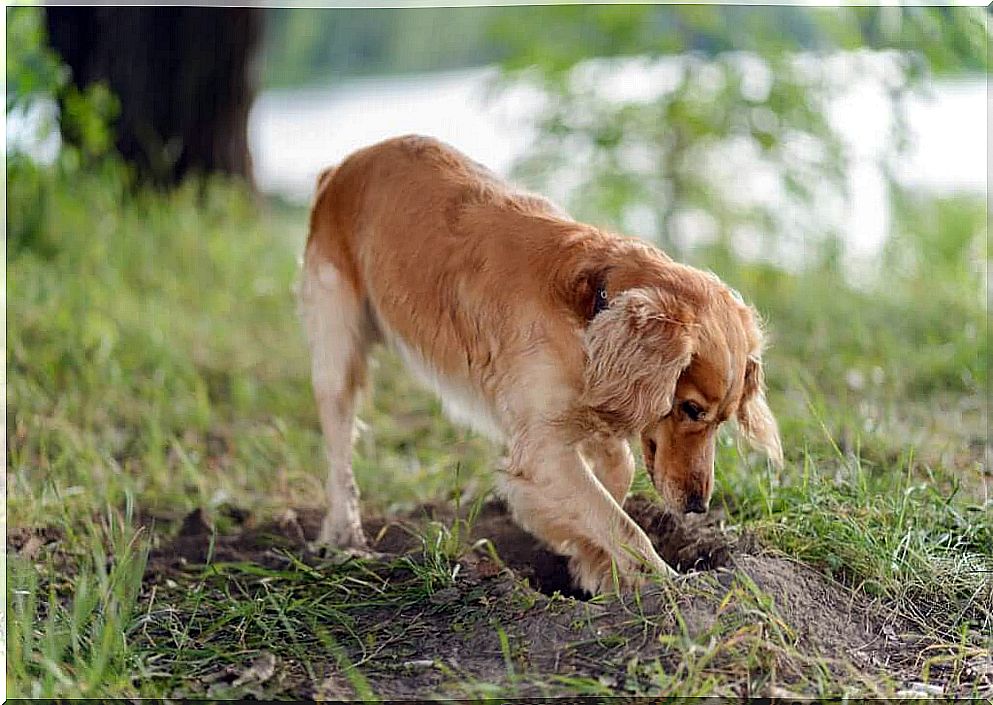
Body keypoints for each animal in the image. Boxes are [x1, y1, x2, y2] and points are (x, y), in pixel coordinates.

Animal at [298, 133, 780, 592]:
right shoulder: (543, 447)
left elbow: (615, 477)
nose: (699, 506)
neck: (592, 310)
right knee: (340, 459)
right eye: (691, 409)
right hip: (337, 354)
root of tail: (342, 166)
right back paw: (346, 539)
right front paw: (663, 581)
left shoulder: (588, 407)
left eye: (722, 420)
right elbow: (621, 525)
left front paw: (592, 563)